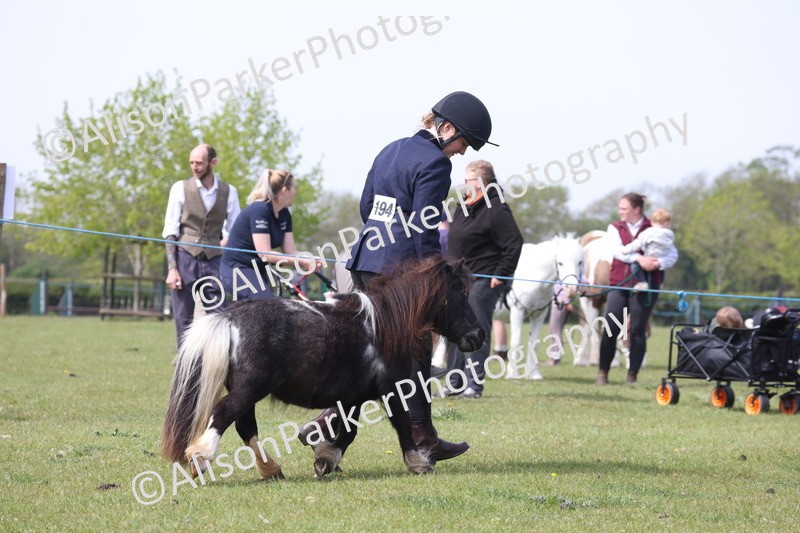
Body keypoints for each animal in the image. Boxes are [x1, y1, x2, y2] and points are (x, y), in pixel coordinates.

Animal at [161, 256, 485, 480]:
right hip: (250, 388)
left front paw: (325, 459)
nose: (478, 336)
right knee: (223, 415)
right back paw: (200, 458)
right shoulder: (391, 390)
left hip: (247, 390)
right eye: (462, 294)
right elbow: (402, 424)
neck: (384, 325)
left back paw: (271, 469)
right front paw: (419, 462)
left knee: (245, 427)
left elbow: (348, 432)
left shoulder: (354, 397)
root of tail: (229, 318)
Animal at [493, 235, 584, 380]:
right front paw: (512, 374)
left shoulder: (539, 314)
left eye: (580, 262)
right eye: (560, 263)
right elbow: (516, 342)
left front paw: (533, 374)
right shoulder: (517, 312)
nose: (571, 289)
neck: (532, 274)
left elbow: (534, 343)